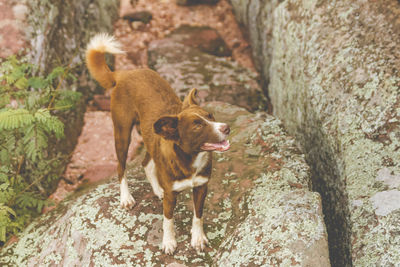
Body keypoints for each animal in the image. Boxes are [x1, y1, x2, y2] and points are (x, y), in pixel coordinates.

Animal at [86, 34, 231, 255]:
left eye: (210, 116)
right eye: (197, 126)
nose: (226, 127)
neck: (191, 158)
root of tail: (124, 73)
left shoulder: (201, 187)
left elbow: (198, 215)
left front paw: (197, 238)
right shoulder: (172, 195)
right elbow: (168, 220)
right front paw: (169, 242)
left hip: (147, 136)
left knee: (146, 162)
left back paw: (157, 189)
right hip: (122, 132)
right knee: (121, 167)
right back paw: (126, 198)